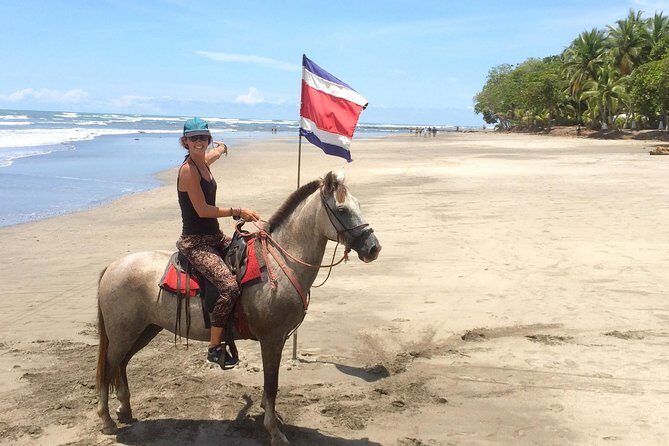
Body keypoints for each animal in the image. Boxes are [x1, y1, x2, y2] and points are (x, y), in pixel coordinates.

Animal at [95, 171, 381, 445]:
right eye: (342, 209)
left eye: (358, 205)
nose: (373, 248)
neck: (280, 264)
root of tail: (112, 267)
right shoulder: (271, 339)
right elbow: (271, 384)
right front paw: (274, 432)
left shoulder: (277, 339)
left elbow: (270, 386)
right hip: (123, 334)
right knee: (108, 368)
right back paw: (107, 420)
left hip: (144, 330)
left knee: (121, 365)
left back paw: (125, 410)